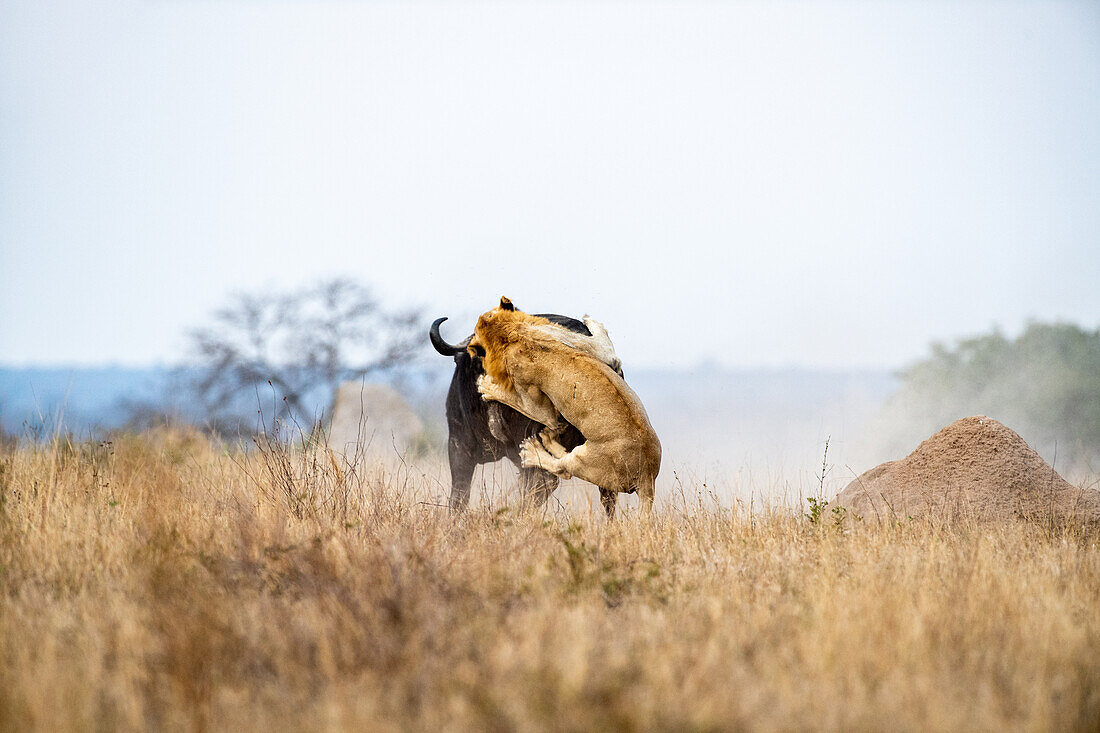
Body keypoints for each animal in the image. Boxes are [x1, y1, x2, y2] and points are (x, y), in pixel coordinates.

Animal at [466, 294, 660, 510]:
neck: (513, 332)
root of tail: (647, 476)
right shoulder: (588, 346)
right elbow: (602, 345)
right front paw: (591, 321)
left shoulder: (538, 402)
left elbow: (520, 402)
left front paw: (486, 387)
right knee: (562, 457)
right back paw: (547, 438)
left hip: (586, 461)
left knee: (563, 469)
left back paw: (532, 450)